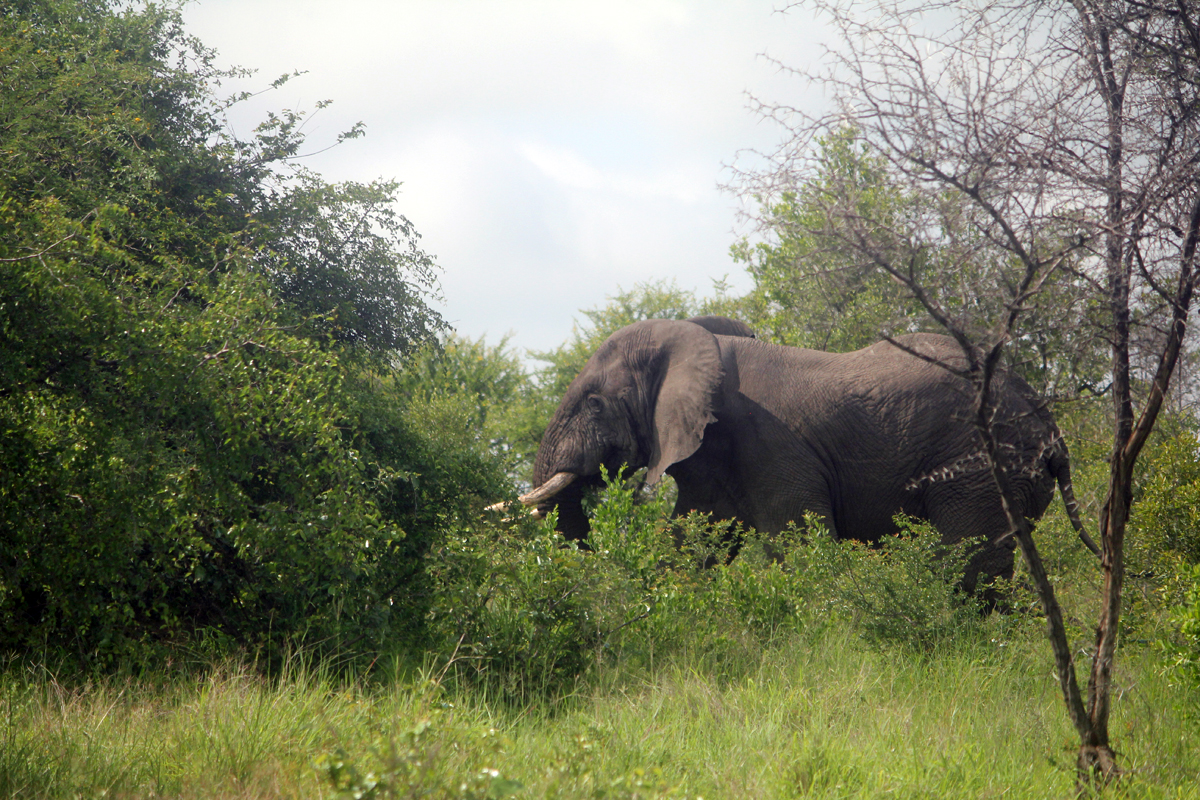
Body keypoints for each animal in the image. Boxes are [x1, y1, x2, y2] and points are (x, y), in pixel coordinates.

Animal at [511, 316, 1094, 597]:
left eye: (593, 403)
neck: (697, 340)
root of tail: (1053, 433)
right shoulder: (712, 458)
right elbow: (693, 542)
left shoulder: (768, 443)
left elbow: (799, 543)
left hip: (985, 466)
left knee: (968, 562)